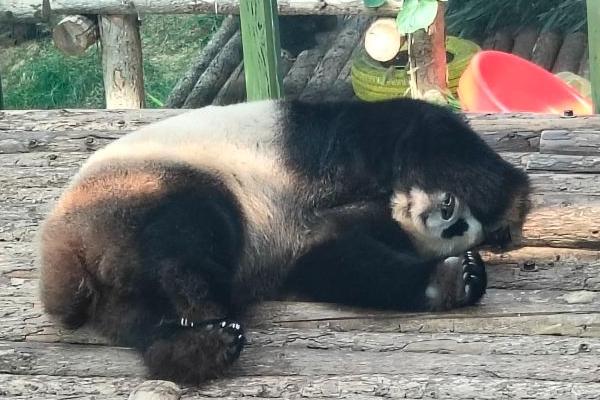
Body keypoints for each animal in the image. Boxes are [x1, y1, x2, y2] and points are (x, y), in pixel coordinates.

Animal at [38, 97, 528, 384]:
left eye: (459, 230)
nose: (446, 211)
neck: (387, 204)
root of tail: (69, 258)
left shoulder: (321, 241)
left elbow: (346, 267)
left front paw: (456, 278)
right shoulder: (318, 146)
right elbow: (411, 126)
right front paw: (504, 202)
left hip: (115, 281)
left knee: (141, 316)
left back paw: (196, 348)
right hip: (141, 188)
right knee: (189, 231)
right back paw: (203, 307)